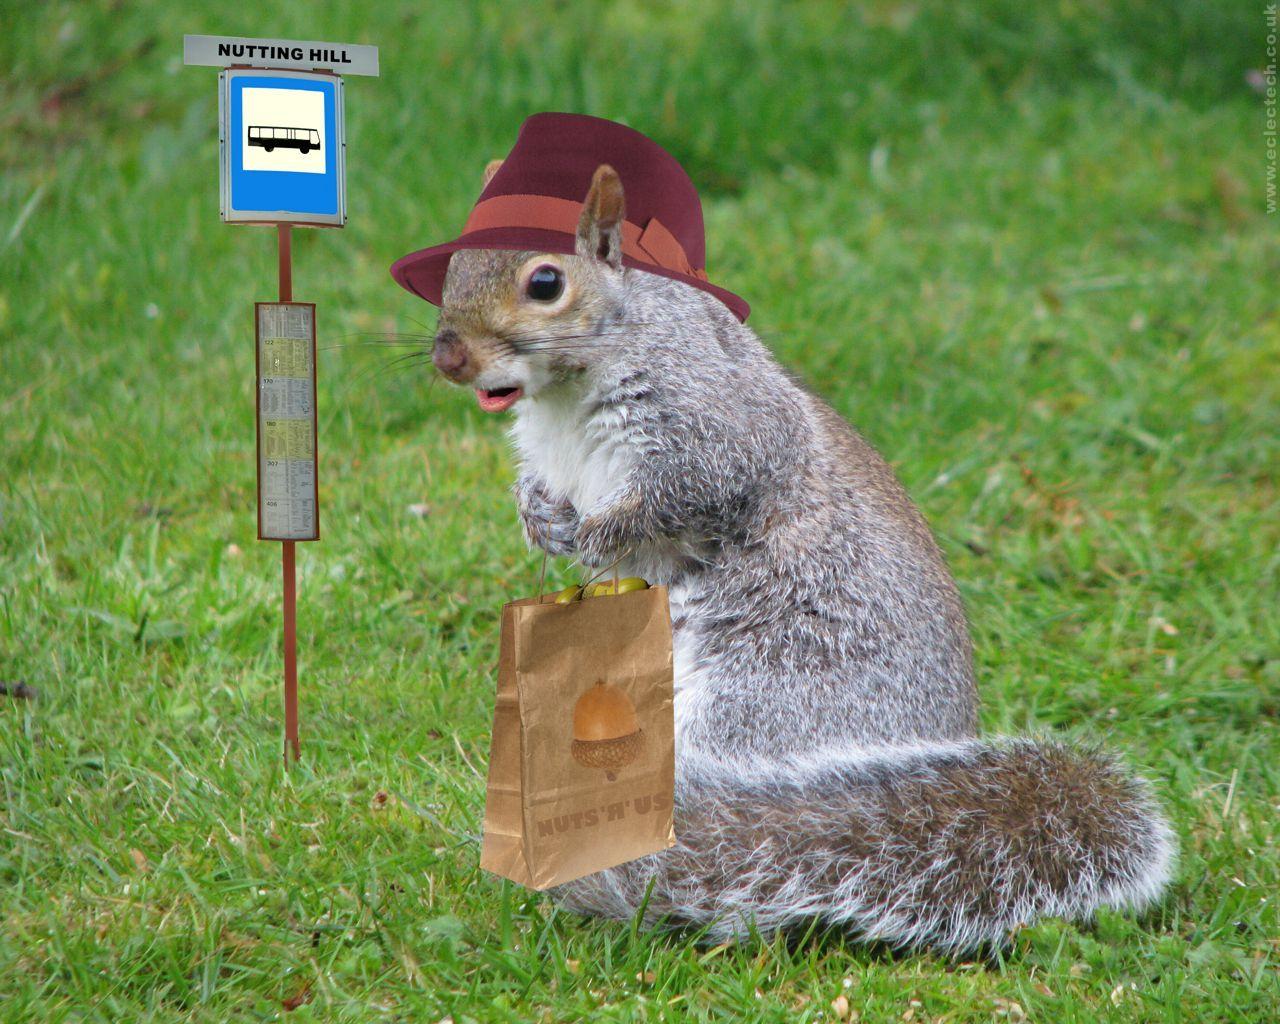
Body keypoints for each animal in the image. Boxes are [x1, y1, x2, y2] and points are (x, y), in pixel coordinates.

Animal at [428, 161, 1175, 951]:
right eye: (452, 268)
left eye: (545, 284)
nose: (448, 355)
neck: (564, 397)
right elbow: (540, 492)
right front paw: (540, 519)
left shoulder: (713, 426)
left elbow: (686, 493)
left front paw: (598, 535)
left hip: (767, 698)